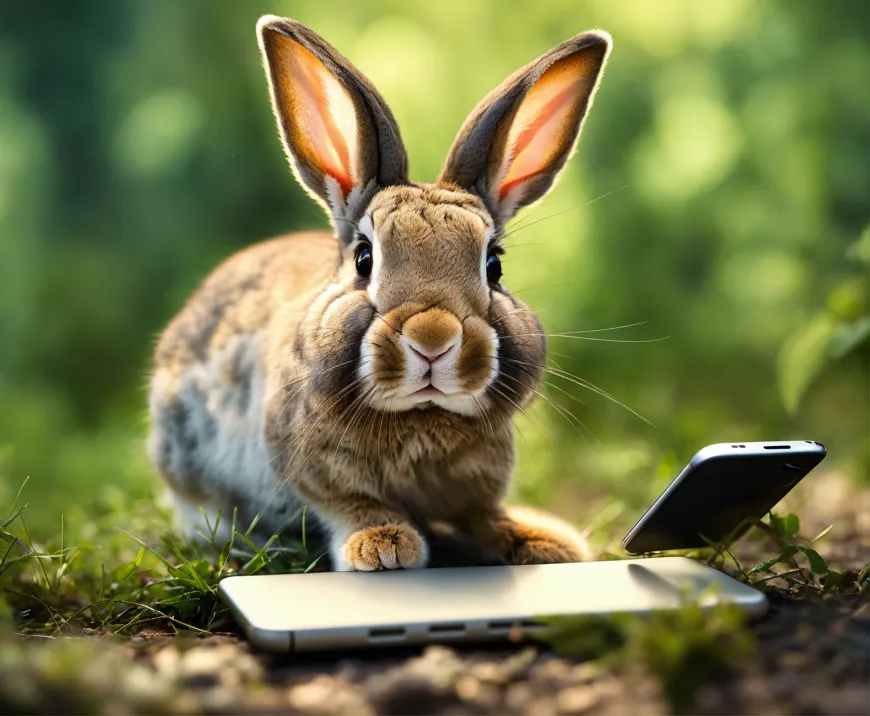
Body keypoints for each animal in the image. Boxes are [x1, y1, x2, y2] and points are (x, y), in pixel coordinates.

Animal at [148, 15, 612, 572]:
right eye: (364, 259)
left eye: (494, 265)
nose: (432, 339)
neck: (420, 416)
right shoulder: (313, 472)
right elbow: (353, 505)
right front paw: (384, 545)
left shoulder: (474, 492)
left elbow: (484, 515)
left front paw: (544, 542)